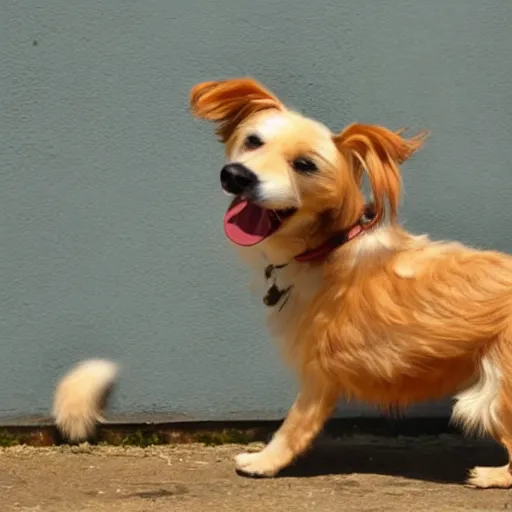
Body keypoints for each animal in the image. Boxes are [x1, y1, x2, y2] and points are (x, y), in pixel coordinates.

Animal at [53, 78, 512, 490]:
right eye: (252, 141)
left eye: (305, 165)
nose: (236, 175)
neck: (328, 247)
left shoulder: (318, 373)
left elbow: (294, 425)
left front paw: (264, 462)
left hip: (490, 394)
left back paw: (490, 476)